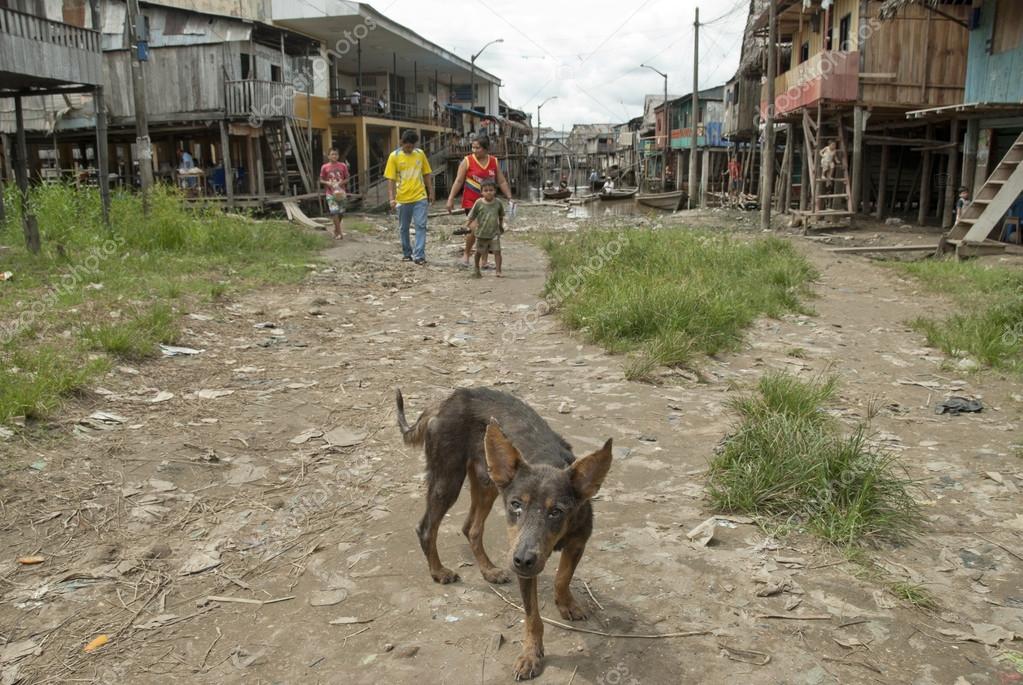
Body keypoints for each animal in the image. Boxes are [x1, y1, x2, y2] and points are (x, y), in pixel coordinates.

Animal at [394, 386, 609, 682]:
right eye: (516, 505)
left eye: (557, 511)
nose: (522, 560)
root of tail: (449, 398)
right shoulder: (524, 565)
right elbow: (533, 618)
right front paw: (531, 656)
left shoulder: (577, 542)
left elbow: (563, 577)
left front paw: (566, 603)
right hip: (447, 479)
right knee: (427, 528)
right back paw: (438, 571)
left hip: (486, 482)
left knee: (471, 528)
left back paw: (488, 570)